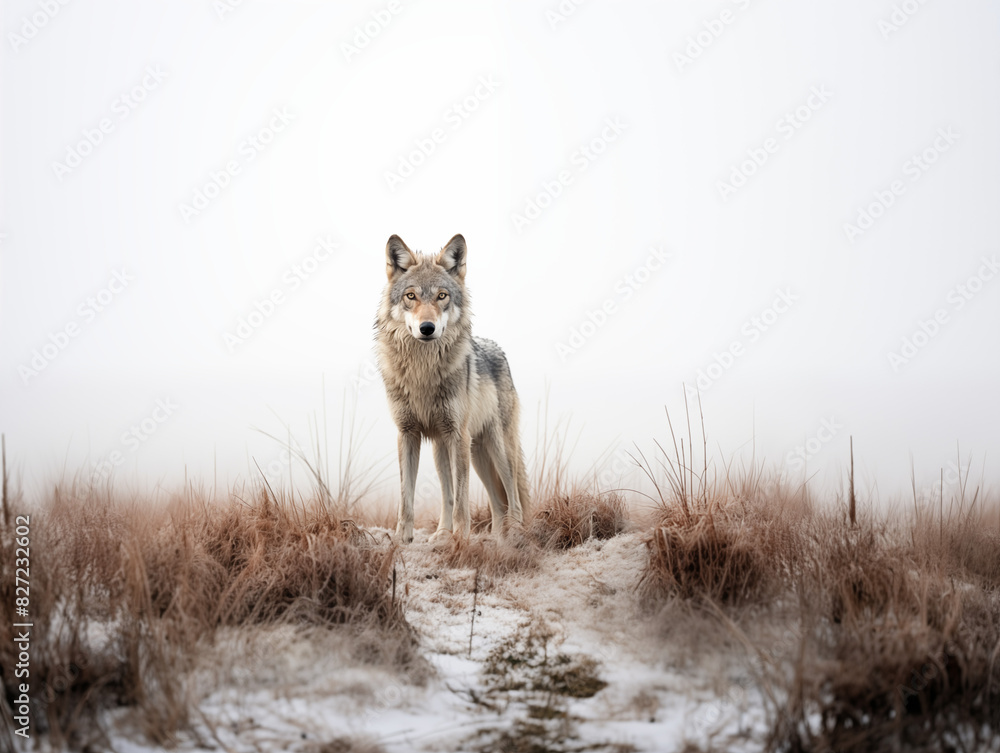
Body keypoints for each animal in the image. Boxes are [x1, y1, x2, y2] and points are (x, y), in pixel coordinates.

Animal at [375, 234, 530, 544]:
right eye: (411, 296)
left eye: (442, 296)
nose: (427, 327)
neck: (422, 371)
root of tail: (499, 350)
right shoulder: (407, 434)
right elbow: (407, 497)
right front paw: (402, 538)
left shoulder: (457, 434)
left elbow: (461, 498)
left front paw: (461, 538)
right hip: (455, 450)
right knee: (493, 501)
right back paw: (457, 535)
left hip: (495, 448)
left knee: (512, 494)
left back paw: (513, 534)